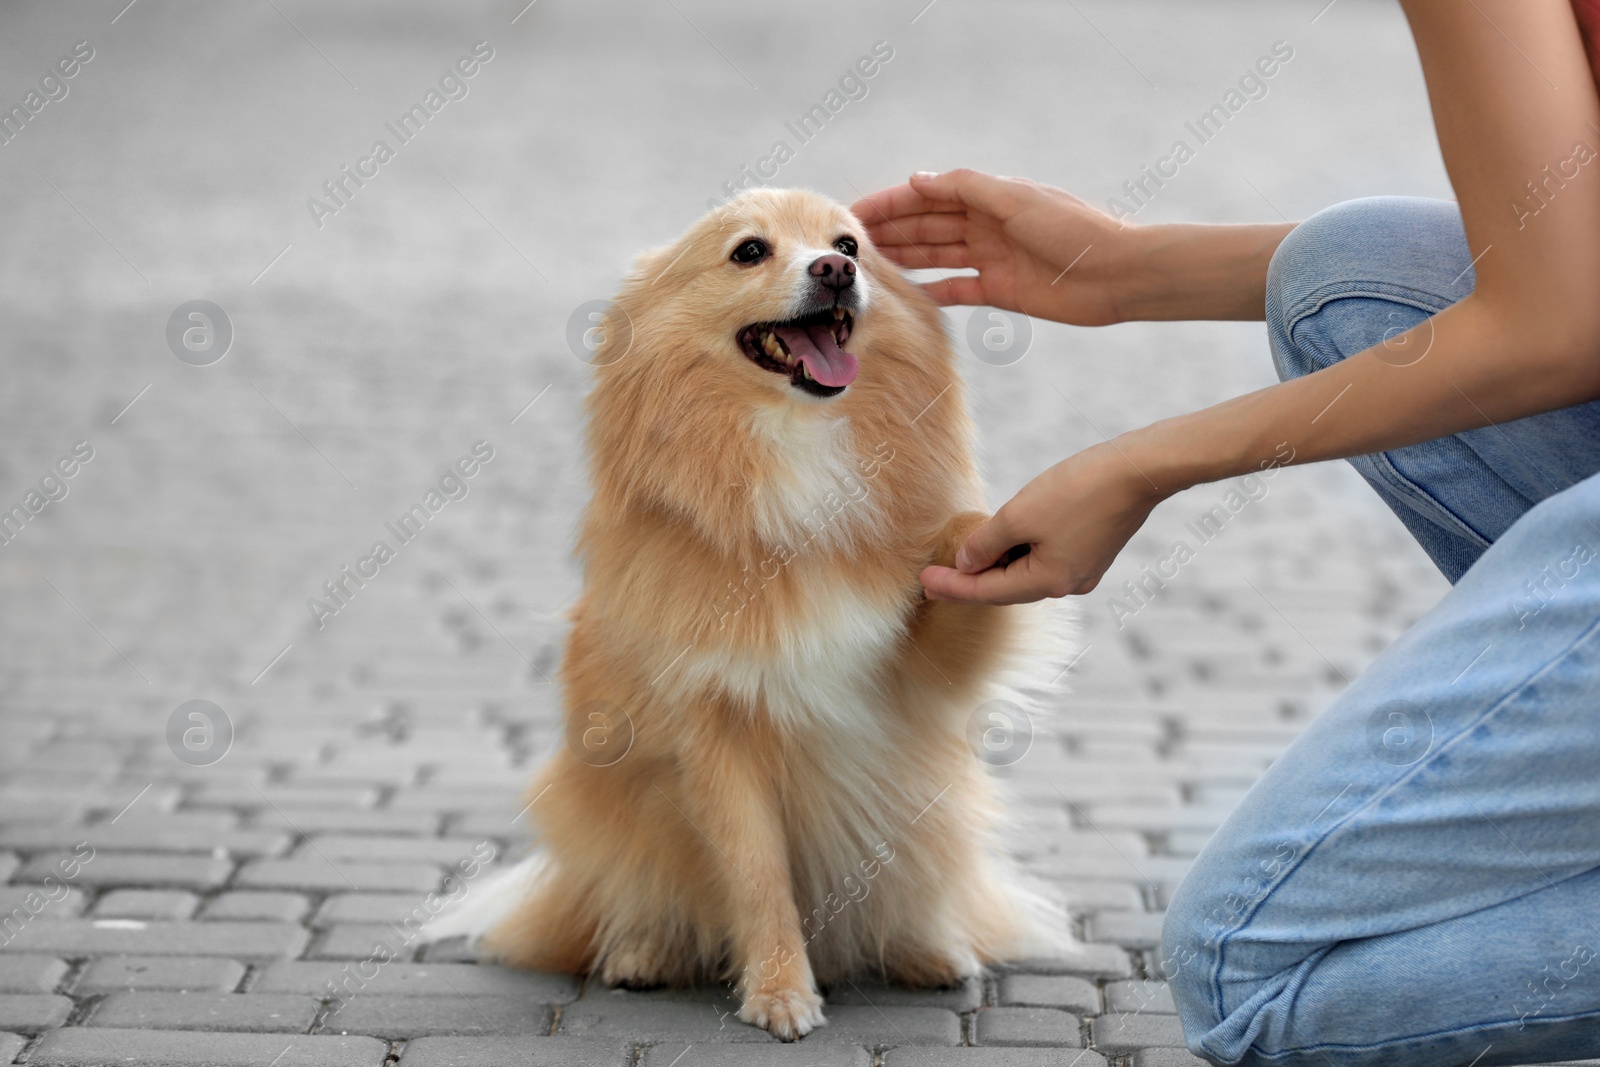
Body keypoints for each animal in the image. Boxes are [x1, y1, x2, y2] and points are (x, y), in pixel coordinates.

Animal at [432, 187, 1068, 1036]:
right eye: (748, 252)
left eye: (850, 245)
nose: (833, 270)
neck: (798, 448)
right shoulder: (717, 724)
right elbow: (758, 874)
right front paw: (779, 992)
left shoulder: (922, 671)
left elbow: (958, 560)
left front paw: (985, 527)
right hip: (606, 811)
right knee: (629, 901)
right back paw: (642, 953)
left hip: (939, 807)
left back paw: (929, 948)